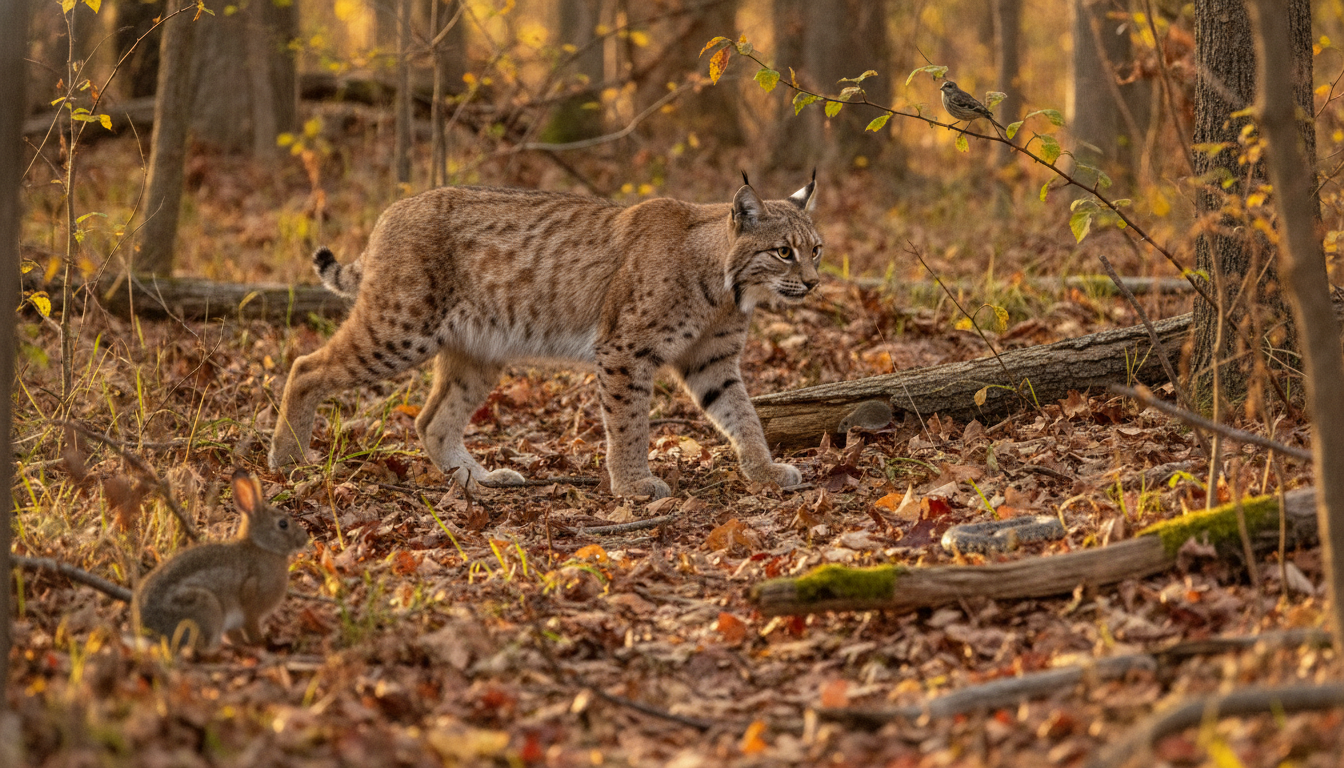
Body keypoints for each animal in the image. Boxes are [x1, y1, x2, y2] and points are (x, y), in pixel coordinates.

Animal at [132, 469, 309, 652]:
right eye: (283, 524)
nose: (304, 538)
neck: (261, 546)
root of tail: (148, 630)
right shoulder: (251, 608)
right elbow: (252, 630)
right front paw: (261, 644)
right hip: (205, 607)